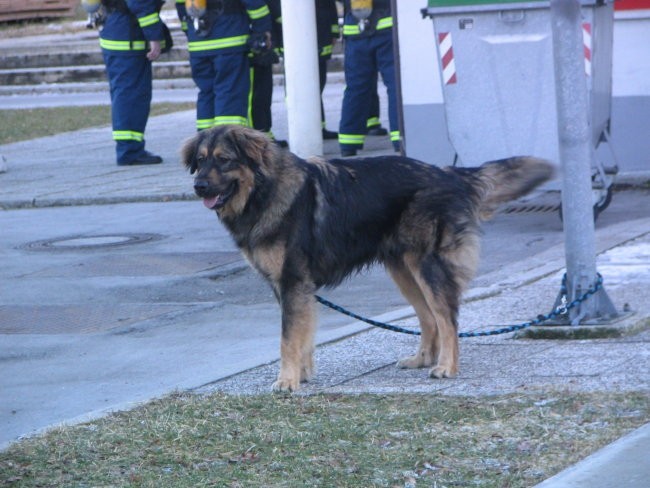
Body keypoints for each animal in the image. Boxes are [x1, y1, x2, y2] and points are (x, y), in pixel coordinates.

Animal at [181, 125, 552, 392]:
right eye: (201, 160)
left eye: (224, 159)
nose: (198, 186)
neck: (264, 190)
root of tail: (450, 173)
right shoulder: (292, 288)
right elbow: (302, 334)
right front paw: (302, 374)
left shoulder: (292, 282)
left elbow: (287, 337)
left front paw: (287, 381)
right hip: (404, 271)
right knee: (429, 318)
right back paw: (421, 359)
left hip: (426, 266)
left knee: (447, 318)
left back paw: (447, 366)